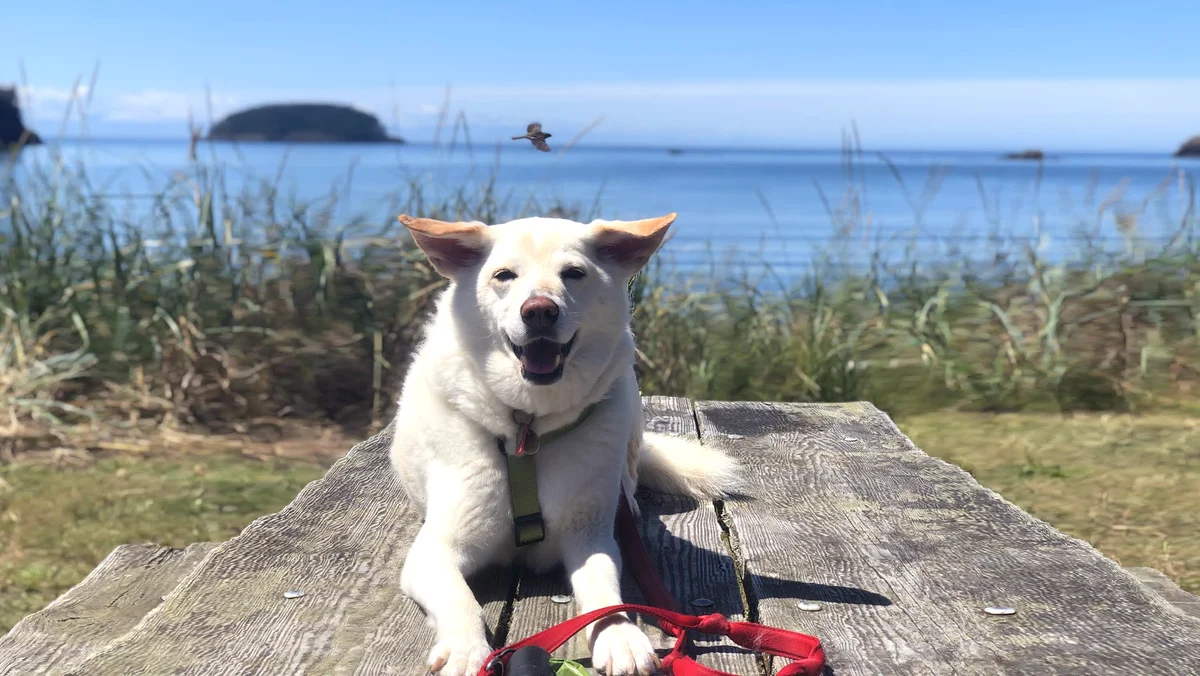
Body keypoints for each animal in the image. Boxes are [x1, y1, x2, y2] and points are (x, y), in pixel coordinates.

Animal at [388, 212, 739, 676]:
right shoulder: (435, 551)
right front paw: (466, 649)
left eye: (574, 273)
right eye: (504, 275)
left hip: (628, 398)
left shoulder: (589, 539)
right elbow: (460, 599)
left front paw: (620, 636)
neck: (528, 429)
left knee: (629, 469)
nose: (539, 311)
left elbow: (606, 593)